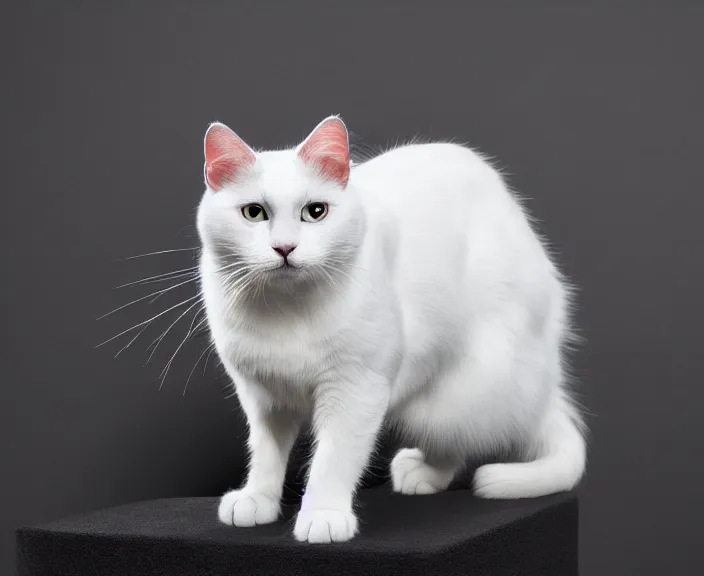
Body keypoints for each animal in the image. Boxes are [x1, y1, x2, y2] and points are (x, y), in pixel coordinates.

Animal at [195, 116, 584, 544]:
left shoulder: (355, 389)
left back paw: (424, 473)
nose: (284, 248)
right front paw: (257, 499)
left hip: (462, 390)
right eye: (254, 213)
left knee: (459, 438)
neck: (287, 310)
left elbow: (333, 458)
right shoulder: (263, 395)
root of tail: (546, 382)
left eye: (315, 212)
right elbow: (265, 452)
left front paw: (324, 515)